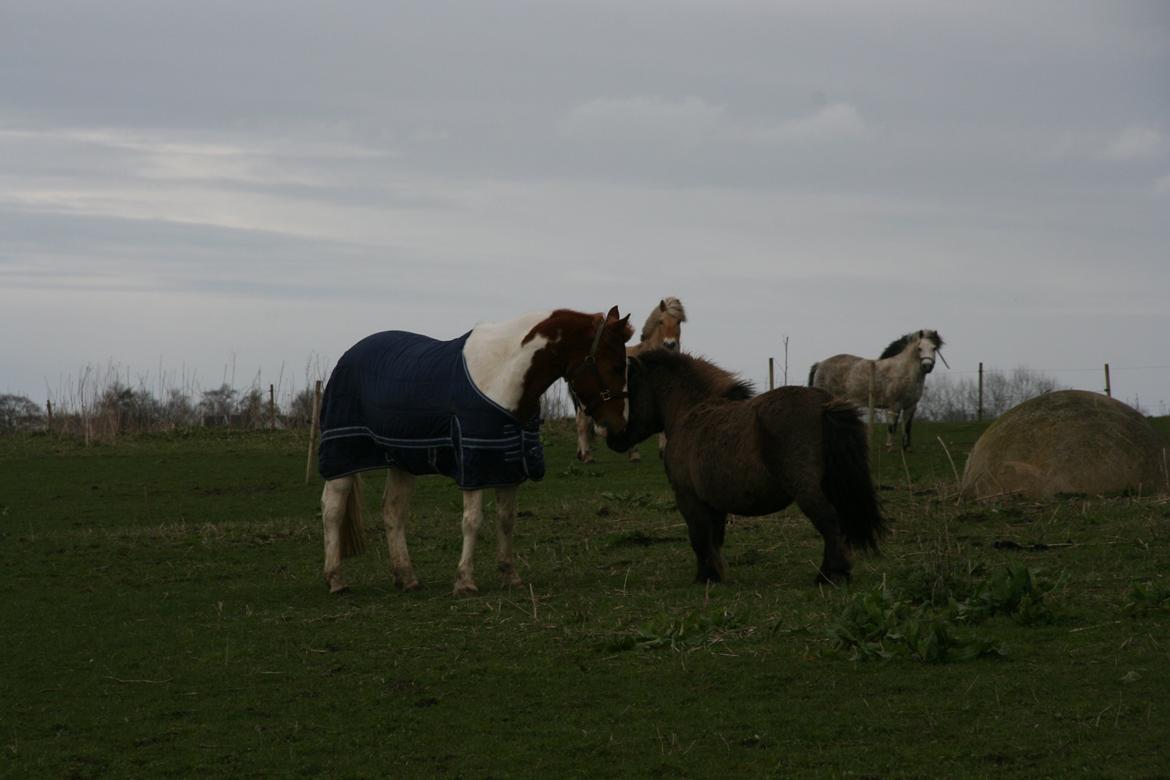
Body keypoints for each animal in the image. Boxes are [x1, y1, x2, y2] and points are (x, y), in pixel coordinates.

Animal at [318, 308, 631, 594]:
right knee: (332, 508)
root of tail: (348, 356)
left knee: (393, 512)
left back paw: (406, 577)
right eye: (616, 366)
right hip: (343, 455)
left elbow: (506, 519)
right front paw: (465, 581)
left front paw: (510, 575)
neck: (502, 375)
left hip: (402, 461)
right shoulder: (475, 464)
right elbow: (472, 521)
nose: (619, 430)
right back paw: (336, 580)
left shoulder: (508, 466)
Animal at [603, 348, 884, 584]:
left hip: (809, 491)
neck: (689, 413)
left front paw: (705, 576)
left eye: (629, 389)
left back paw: (829, 575)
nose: (612, 438)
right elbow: (714, 539)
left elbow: (699, 538)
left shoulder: (688, 498)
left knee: (831, 524)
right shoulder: (713, 503)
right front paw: (716, 574)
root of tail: (825, 404)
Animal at [809, 329, 945, 451]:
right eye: (919, 348)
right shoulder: (895, 405)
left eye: (934, 348)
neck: (904, 372)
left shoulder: (911, 406)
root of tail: (820, 364)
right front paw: (890, 447)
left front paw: (906, 448)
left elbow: (907, 426)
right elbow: (892, 426)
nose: (927, 366)